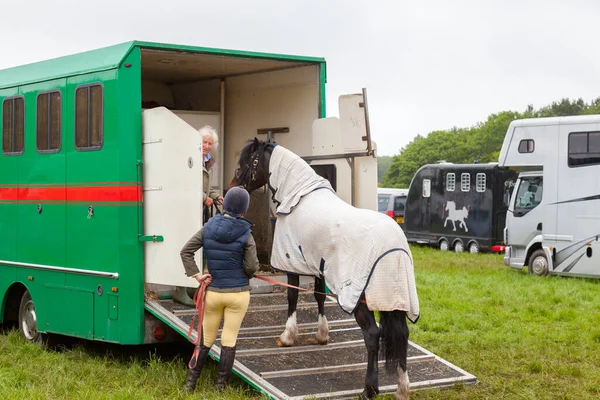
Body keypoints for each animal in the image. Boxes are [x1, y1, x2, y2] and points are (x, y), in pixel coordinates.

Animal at [232, 138, 420, 400]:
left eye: (246, 162)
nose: (233, 186)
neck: (298, 197)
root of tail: (394, 247)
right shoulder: (319, 264)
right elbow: (319, 295)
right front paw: (321, 335)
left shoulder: (292, 261)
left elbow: (293, 297)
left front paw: (287, 337)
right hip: (395, 298)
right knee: (402, 336)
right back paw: (402, 389)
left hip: (359, 298)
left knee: (373, 335)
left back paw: (369, 389)